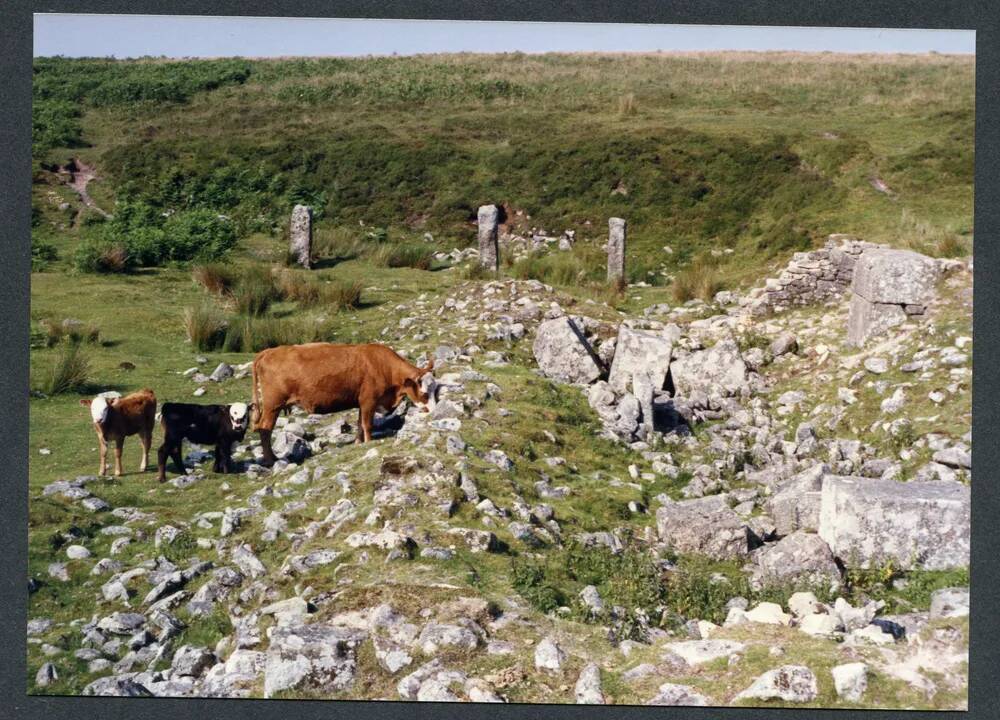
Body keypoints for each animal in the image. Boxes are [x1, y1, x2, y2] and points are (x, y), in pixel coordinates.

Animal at [252, 344, 436, 466]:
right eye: (425, 393)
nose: (433, 411)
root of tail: (269, 351)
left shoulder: (362, 403)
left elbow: (360, 424)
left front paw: (358, 442)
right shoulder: (369, 400)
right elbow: (367, 424)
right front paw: (368, 442)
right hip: (272, 405)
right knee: (265, 429)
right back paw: (271, 459)